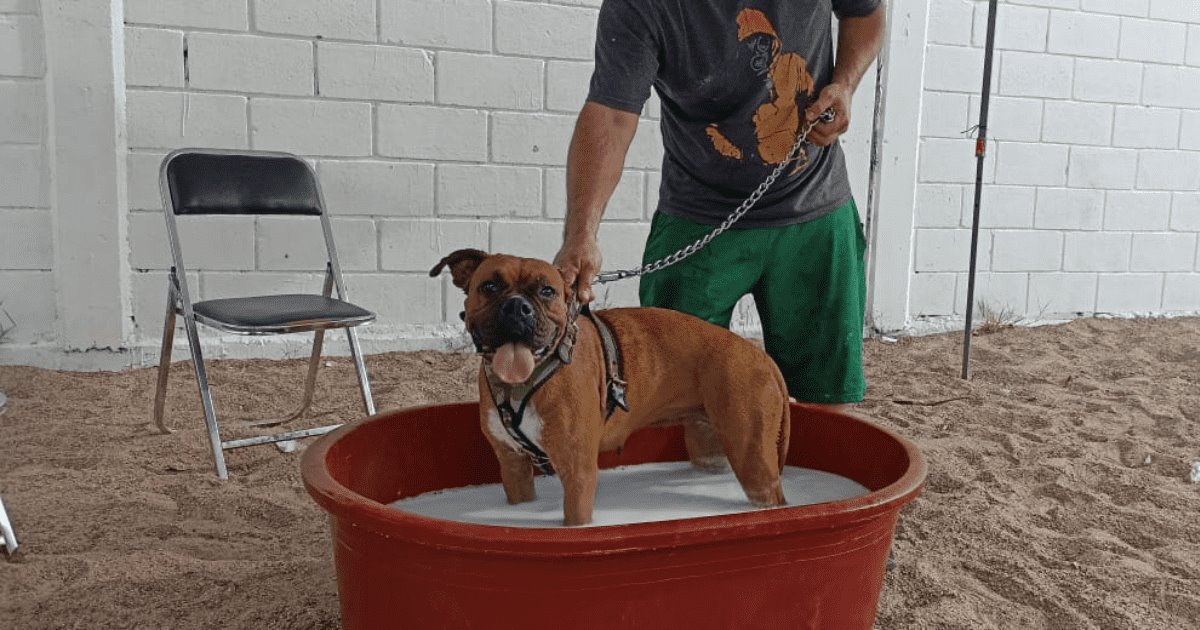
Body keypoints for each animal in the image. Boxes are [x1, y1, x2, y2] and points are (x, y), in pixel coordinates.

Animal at [429, 248, 787, 523]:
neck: (520, 384)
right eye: (489, 285)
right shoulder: (513, 467)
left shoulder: (577, 473)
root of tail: (758, 354)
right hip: (709, 444)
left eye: (547, 291)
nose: (517, 306)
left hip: (753, 462)